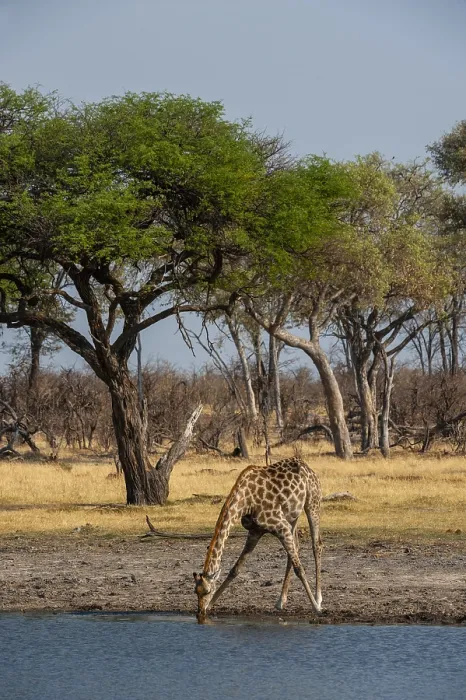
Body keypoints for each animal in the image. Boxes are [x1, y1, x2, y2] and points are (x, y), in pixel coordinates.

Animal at [193, 457, 322, 621]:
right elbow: (235, 569)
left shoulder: (280, 527)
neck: (245, 502)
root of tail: (308, 468)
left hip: (312, 503)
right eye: (195, 591)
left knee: (316, 544)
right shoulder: (255, 531)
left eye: (208, 591)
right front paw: (210, 606)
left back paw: (318, 598)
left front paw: (316, 608)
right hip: (292, 516)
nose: (200, 612)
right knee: (296, 548)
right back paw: (281, 601)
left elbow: (299, 568)